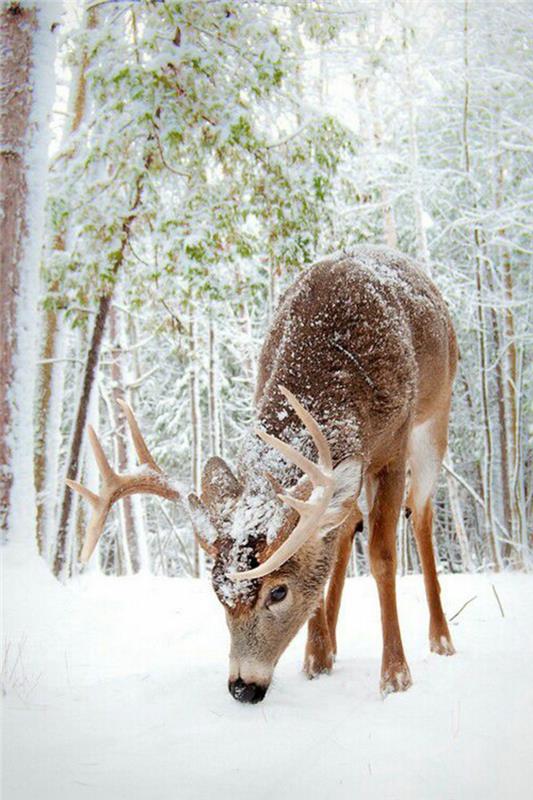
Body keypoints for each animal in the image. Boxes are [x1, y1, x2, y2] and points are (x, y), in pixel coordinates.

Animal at [67, 247, 458, 704]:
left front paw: (395, 676)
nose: (243, 687)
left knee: (423, 514)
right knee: (344, 529)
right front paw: (316, 659)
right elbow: (325, 552)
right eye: (218, 593)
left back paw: (441, 638)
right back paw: (328, 647)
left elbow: (383, 557)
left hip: (435, 418)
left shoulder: (393, 445)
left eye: (278, 591)